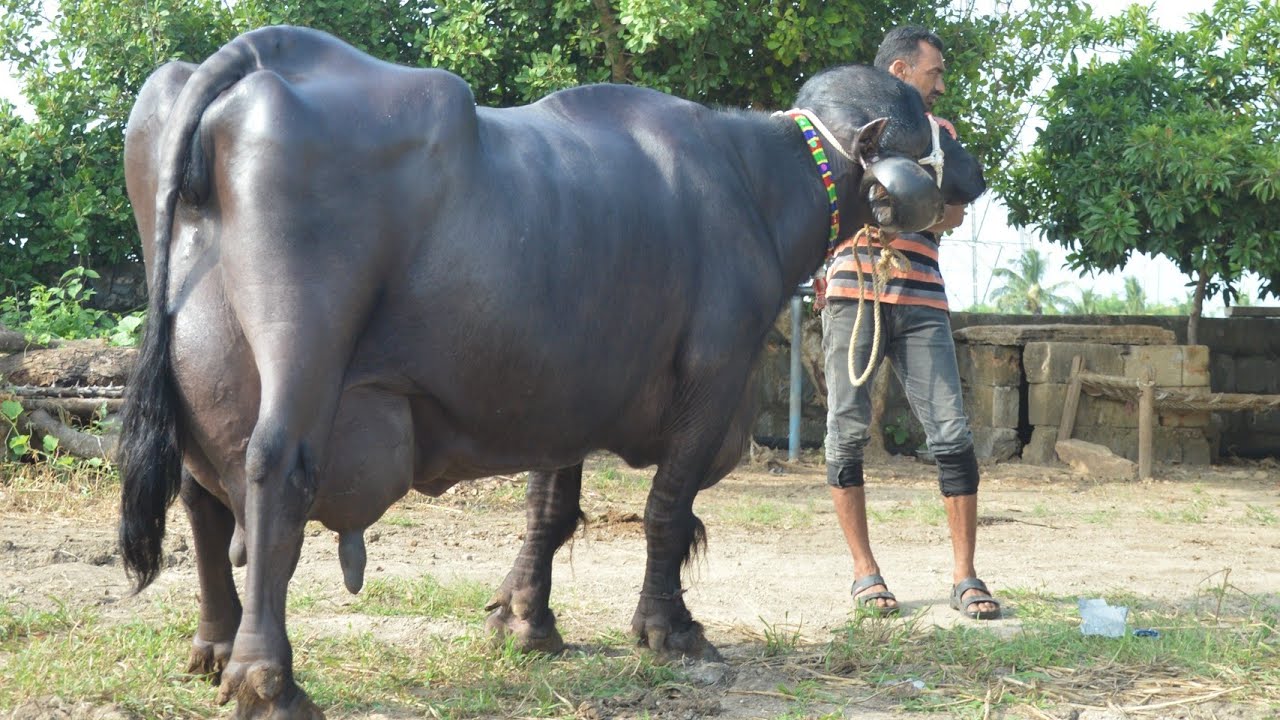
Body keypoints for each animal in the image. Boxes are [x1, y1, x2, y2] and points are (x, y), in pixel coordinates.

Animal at [118, 24, 985, 719]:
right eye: (929, 119)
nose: (973, 174)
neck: (756, 185)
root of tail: (253, 57)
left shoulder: (563, 391)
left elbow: (550, 511)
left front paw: (526, 622)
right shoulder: (714, 377)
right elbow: (666, 513)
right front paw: (669, 629)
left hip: (200, 368)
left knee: (200, 495)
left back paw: (213, 648)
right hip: (302, 347)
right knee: (274, 472)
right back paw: (268, 681)